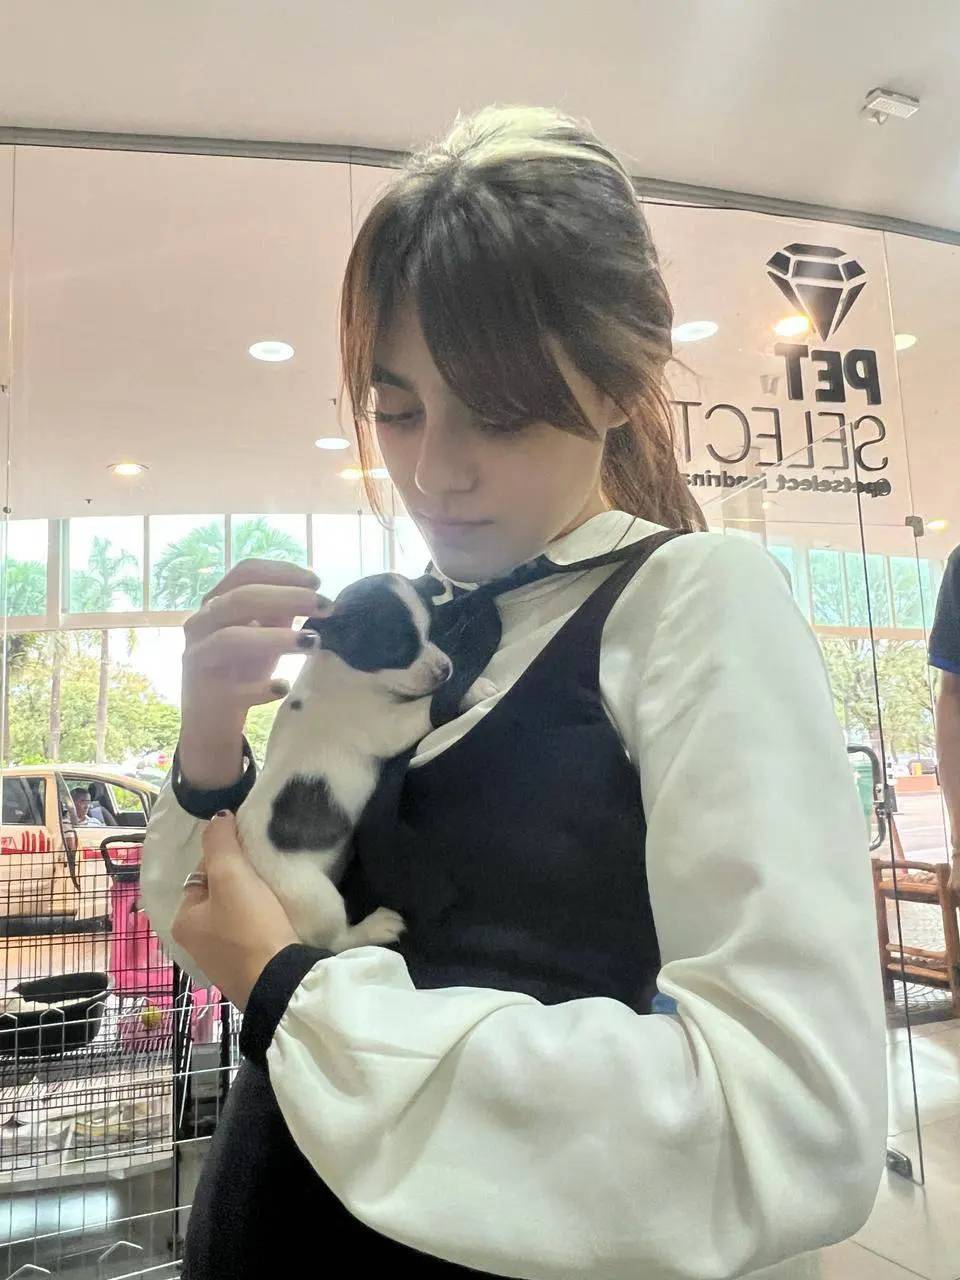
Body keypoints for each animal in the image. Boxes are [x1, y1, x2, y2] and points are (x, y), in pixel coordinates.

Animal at [236, 573, 452, 952]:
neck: (342, 668)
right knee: (337, 941)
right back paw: (376, 928)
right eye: (394, 650)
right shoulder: (386, 725)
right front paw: (477, 688)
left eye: (433, 631)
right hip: (315, 897)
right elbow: (424, 708)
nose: (445, 670)